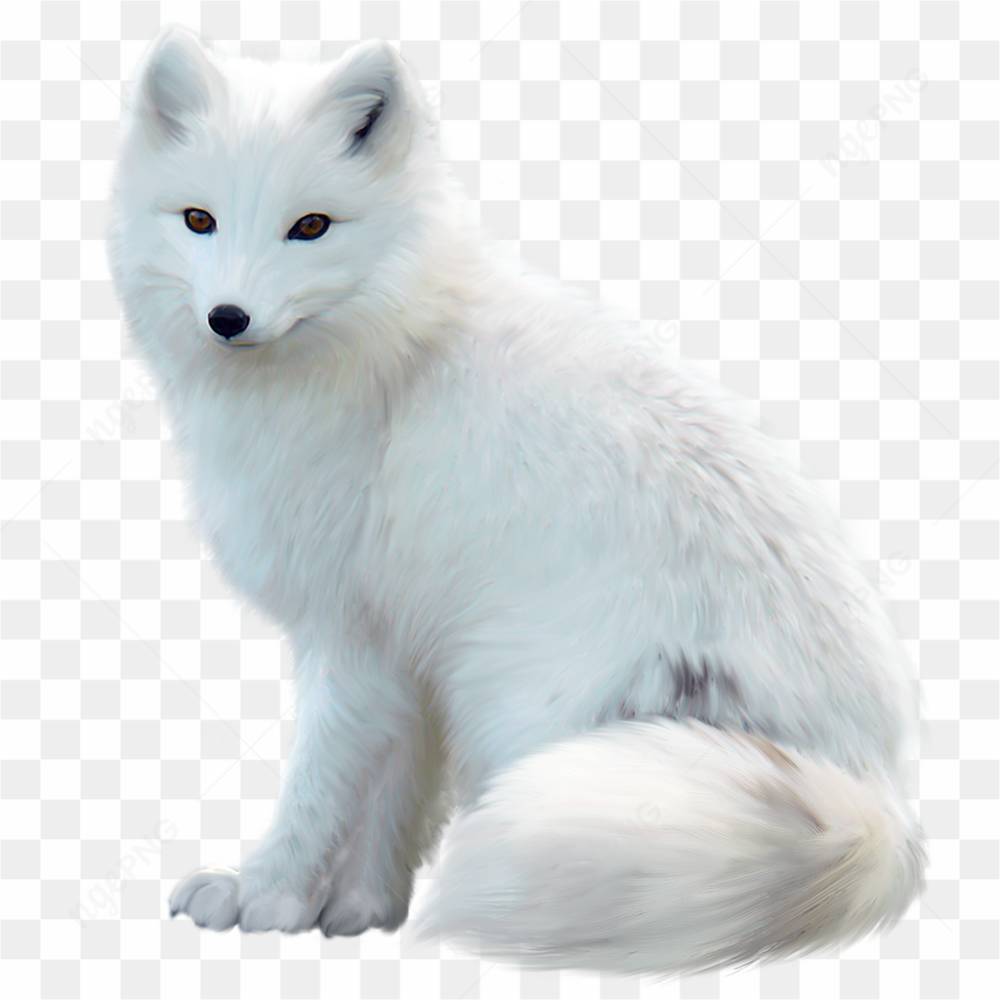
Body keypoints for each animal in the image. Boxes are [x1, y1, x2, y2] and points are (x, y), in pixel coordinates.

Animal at [108, 26, 925, 975]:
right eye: (197, 219)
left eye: (309, 226)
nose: (228, 317)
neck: (392, 351)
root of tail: (878, 799)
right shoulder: (408, 653)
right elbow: (392, 800)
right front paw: (361, 912)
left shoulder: (349, 639)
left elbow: (318, 789)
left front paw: (266, 897)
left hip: (527, 715)